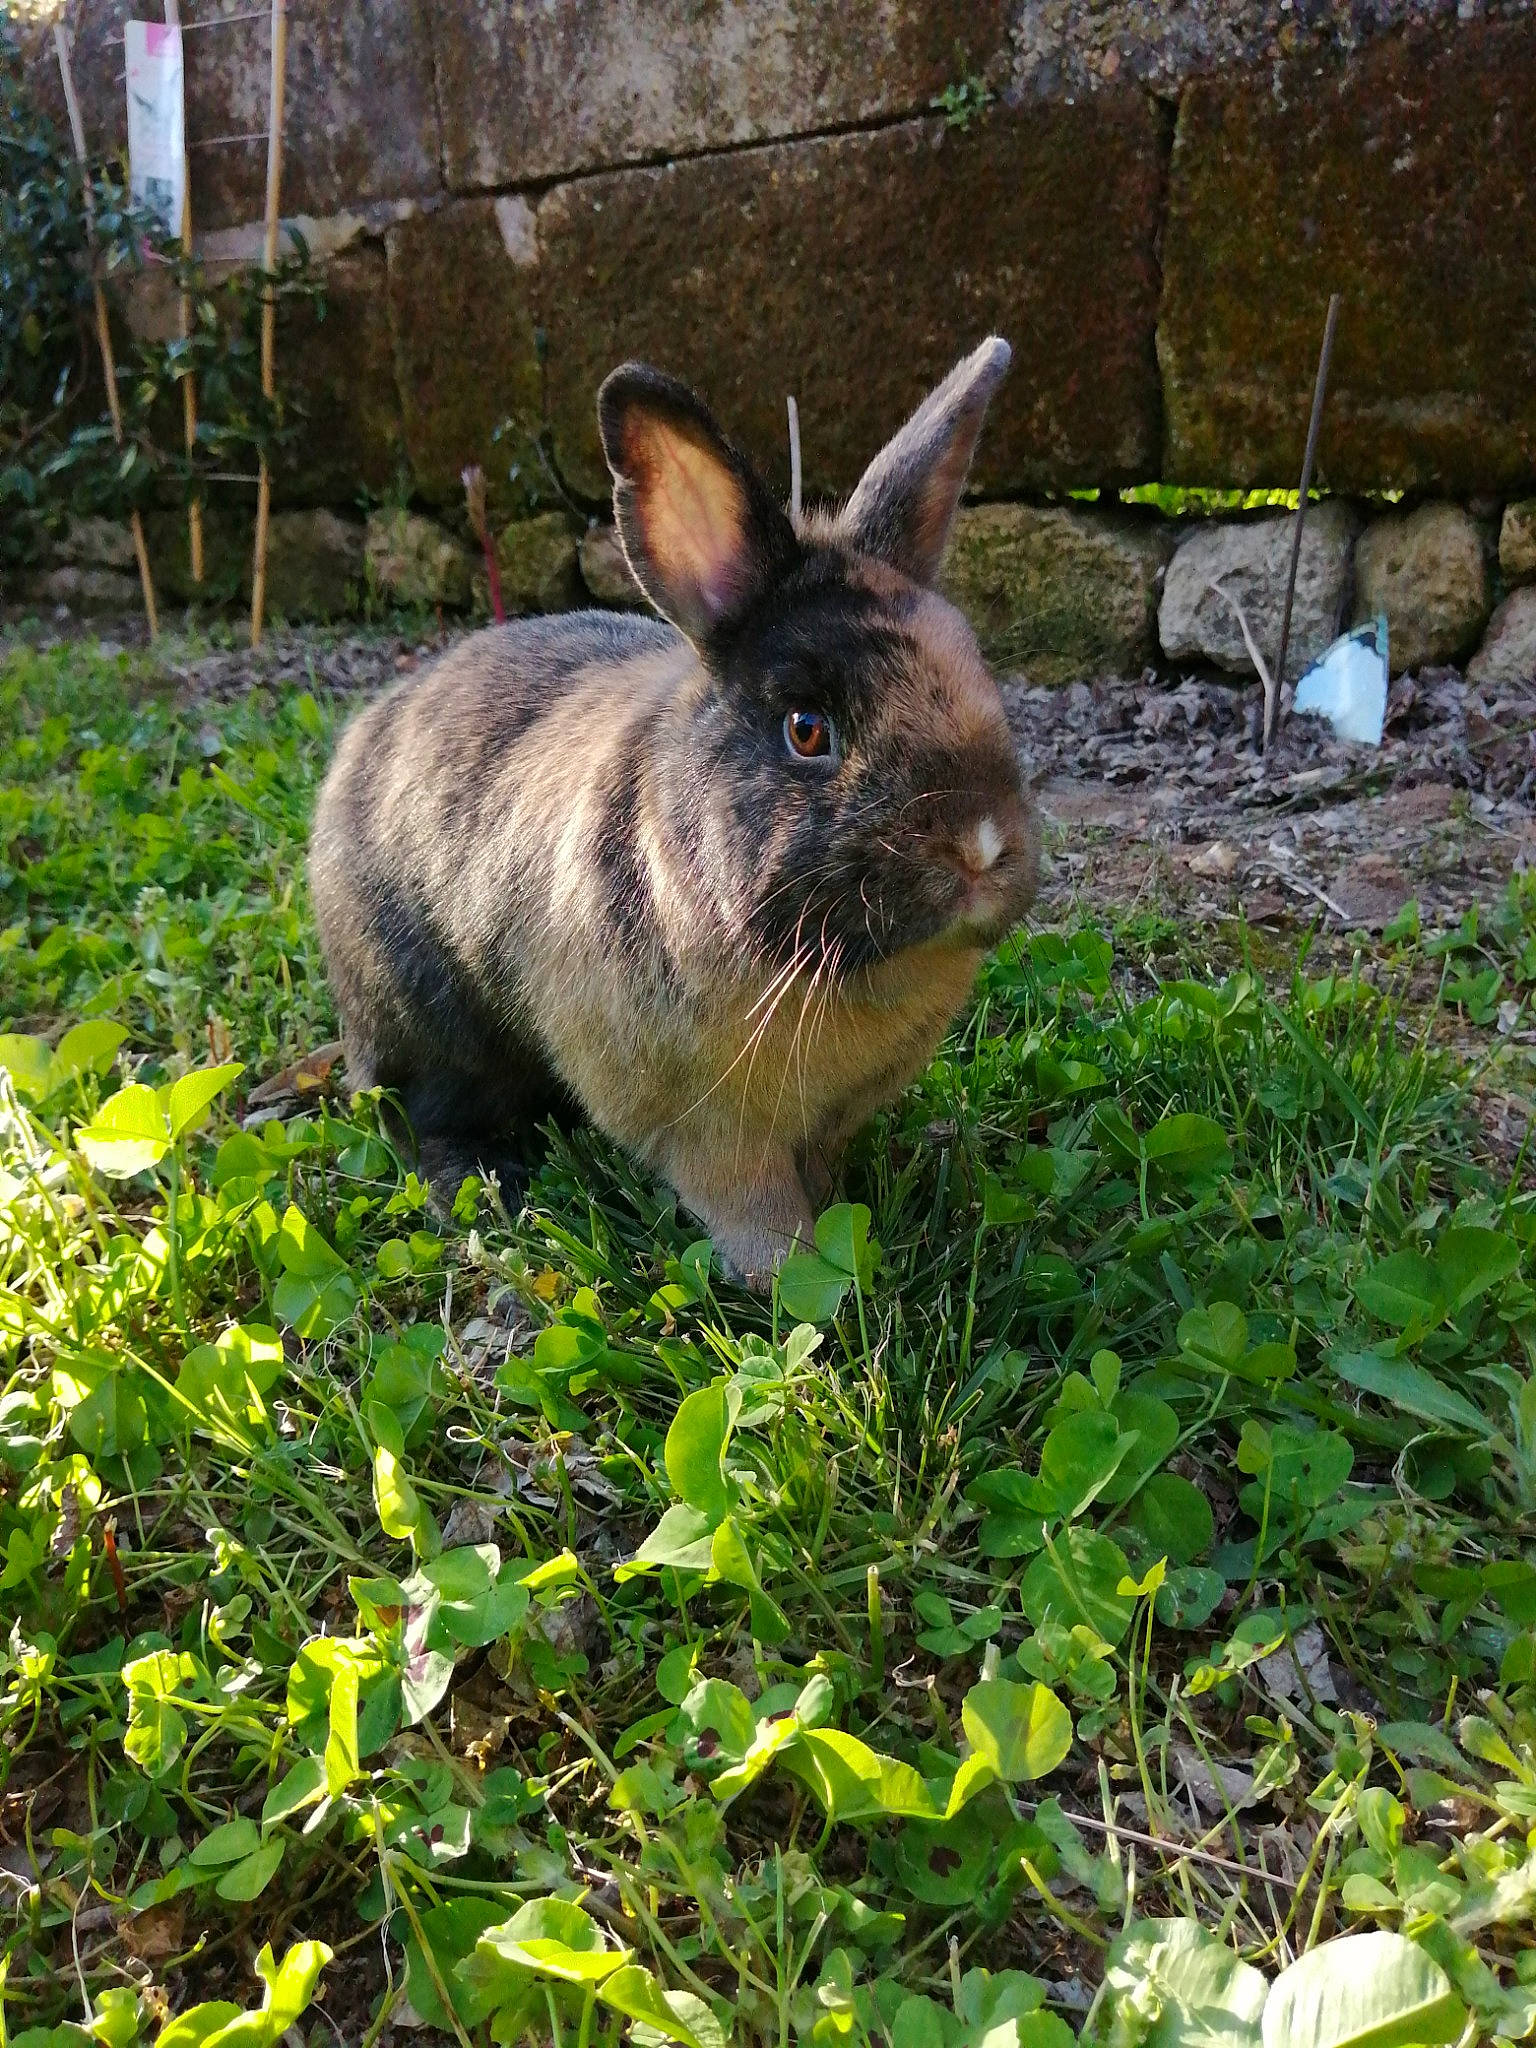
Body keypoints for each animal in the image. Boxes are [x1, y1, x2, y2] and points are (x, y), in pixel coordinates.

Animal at [309, 337, 1038, 1288]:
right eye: (807, 729)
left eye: (982, 677)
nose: (981, 847)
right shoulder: (707, 1137)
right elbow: (758, 1216)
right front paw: (794, 1281)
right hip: (425, 1024)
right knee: (423, 1117)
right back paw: (492, 1188)